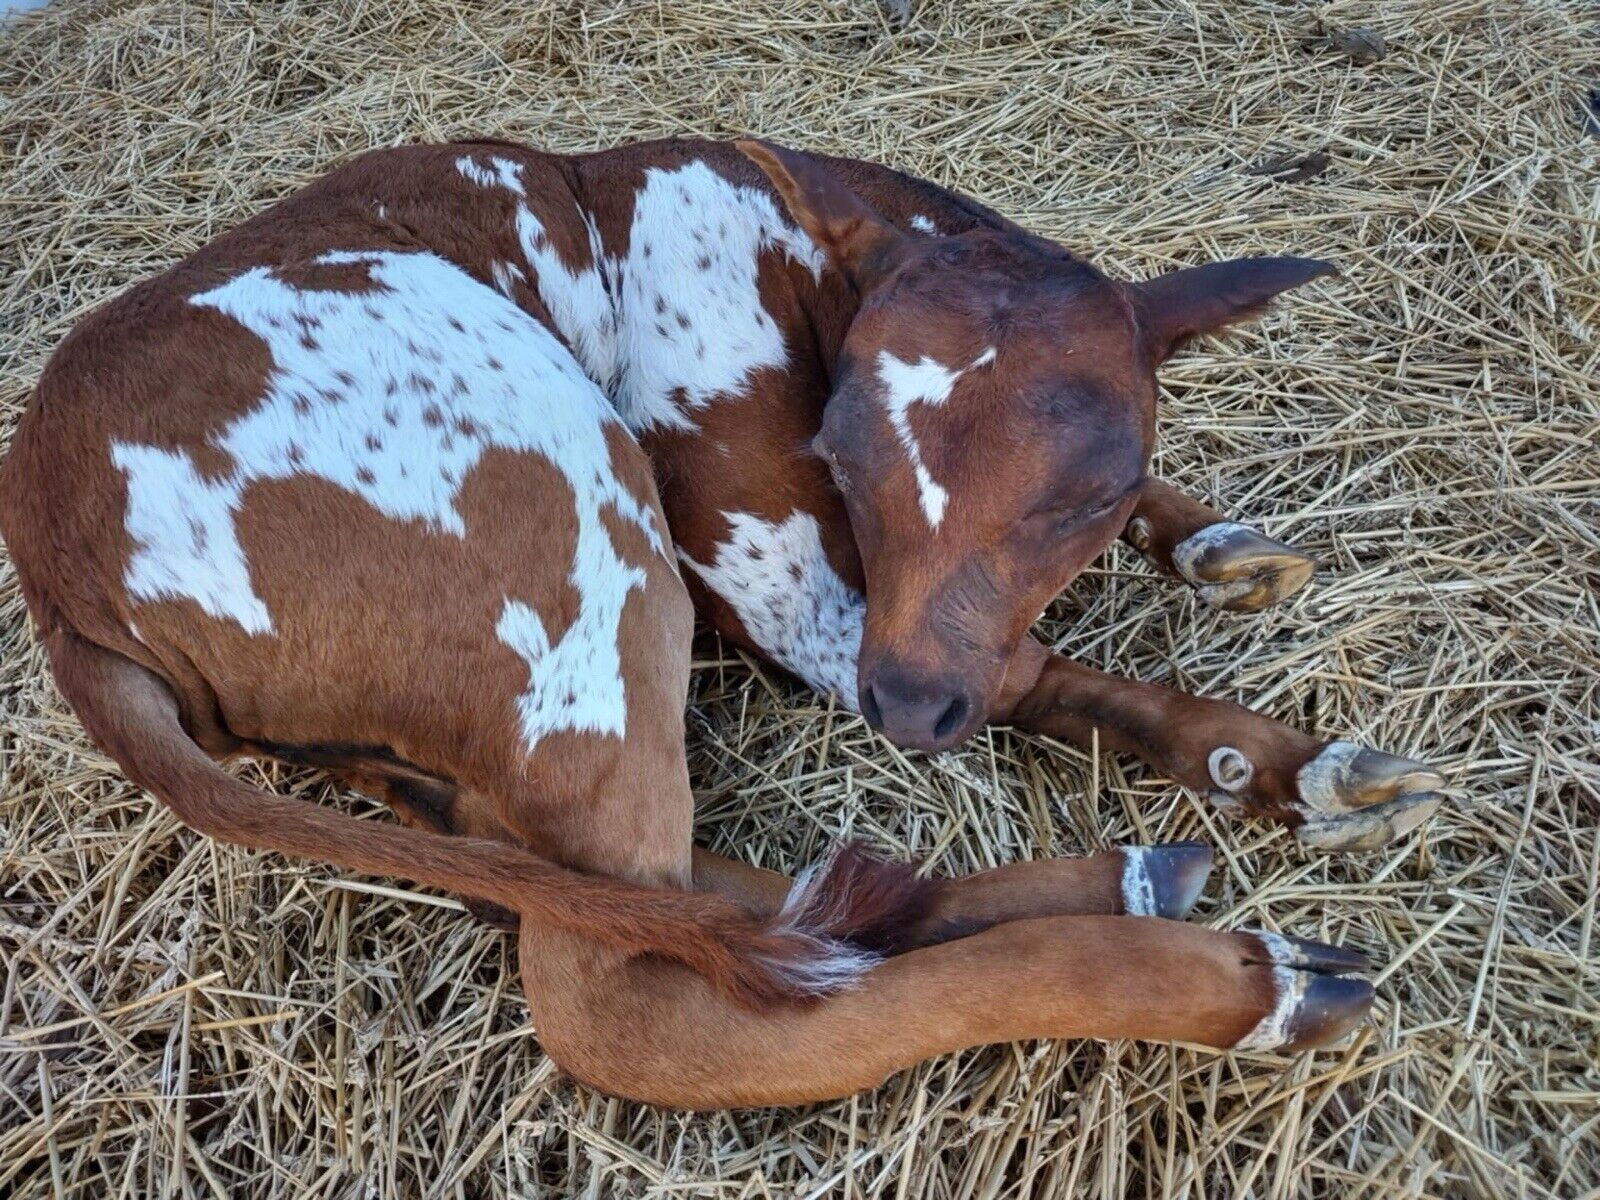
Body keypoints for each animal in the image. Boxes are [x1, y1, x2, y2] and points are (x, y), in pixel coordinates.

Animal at [0, 138, 1394, 1107]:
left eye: (1093, 493)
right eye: (838, 449)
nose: (908, 703)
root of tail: (58, 566)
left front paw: (1219, 546)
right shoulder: (783, 574)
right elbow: (1021, 671)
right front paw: (1260, 754)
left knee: (651, 898)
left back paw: (1108, 877)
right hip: (582, 537)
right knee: (628, 997)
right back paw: (1242, 981)